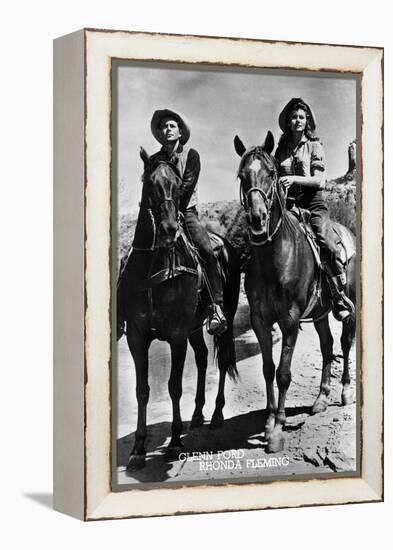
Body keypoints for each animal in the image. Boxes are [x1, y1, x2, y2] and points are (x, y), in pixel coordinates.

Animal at [116, 149, 239, 472]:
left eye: (176, 183)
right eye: (149, 183)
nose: (170, 229)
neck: (152, 268)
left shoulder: (175, 335)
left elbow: (173, 386)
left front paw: (173, 443)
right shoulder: (136, 337)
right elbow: (142, 389)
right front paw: (138, 449)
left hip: (224, 319)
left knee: (222, 360)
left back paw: (217, 415)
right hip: (194, 328)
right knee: (203, 357)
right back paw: (196, 415)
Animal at [234, 133, 356, 452]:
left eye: (272, 173)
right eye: (242, 176)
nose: (257, 218)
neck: (275, 258)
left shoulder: (289, 321)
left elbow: (283, 373)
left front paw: (277, 430)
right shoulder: (260, 321)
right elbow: (267, 368)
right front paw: (267, 423)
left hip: (349, 309)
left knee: (345, 343)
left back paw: (345, 393)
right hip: (320, 314)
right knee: (327, 345)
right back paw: (321, 399)